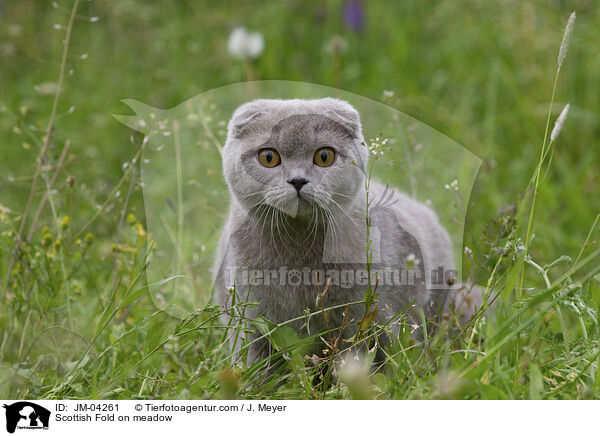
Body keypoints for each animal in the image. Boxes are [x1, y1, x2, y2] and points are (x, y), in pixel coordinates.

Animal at [213, 97, 480, 362]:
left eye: (324, 156)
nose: (298, 181)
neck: (299, 247)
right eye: (268, 157)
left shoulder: (366, 317)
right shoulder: (251, 322)